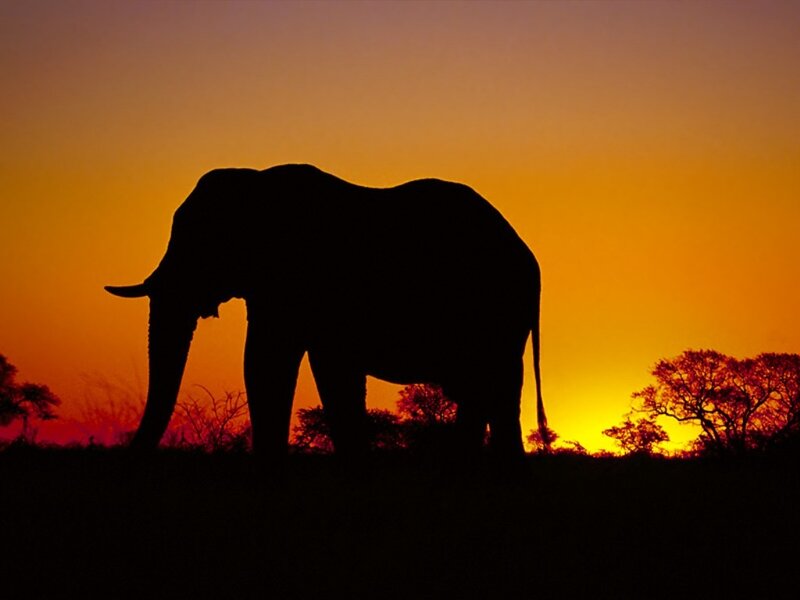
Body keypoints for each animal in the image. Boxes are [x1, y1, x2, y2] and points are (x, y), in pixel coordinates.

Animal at [106, 164, 547, 463]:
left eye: (204, 241)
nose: (129, 454)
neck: (257, 181)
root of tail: (530, 258)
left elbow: (269, 362)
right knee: (489, 392)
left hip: (498, 310)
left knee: (489, 388)